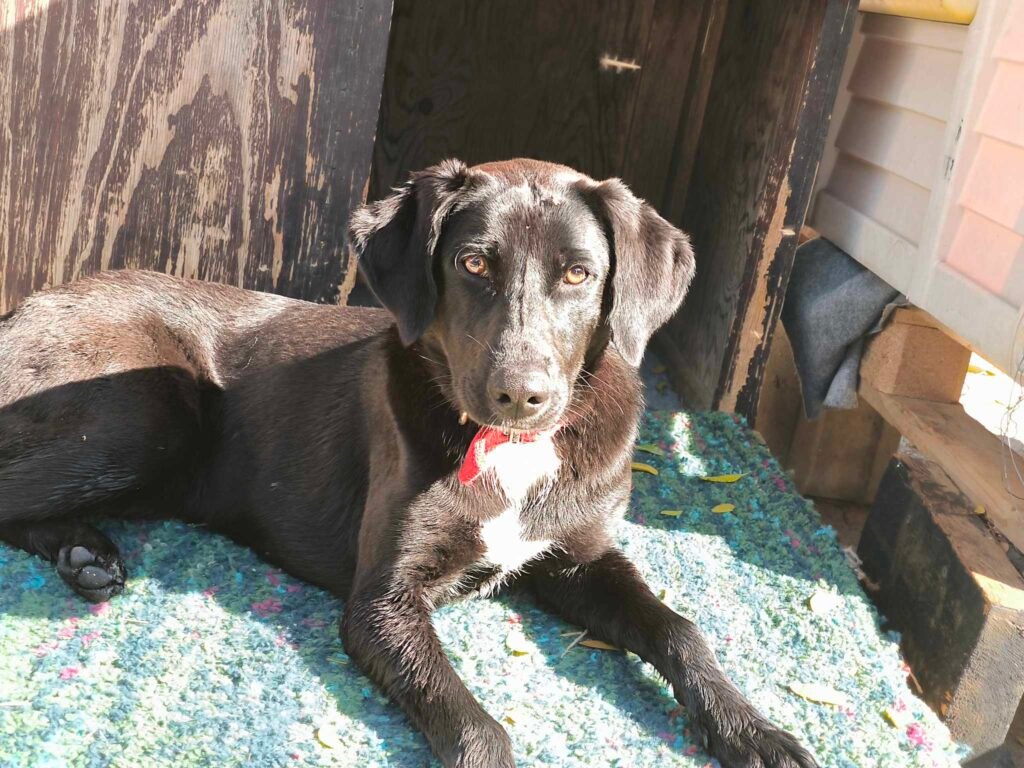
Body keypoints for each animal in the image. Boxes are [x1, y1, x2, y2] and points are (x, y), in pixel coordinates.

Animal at [0, 159, 816, 768]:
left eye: (579, 275)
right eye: (473, 262)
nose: (521, 394)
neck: (513, 453)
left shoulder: (580, 558)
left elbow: (681, 629)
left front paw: (754, 730)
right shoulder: (381, 600)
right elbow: (481, 732)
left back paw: (84, 554)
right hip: (149, 414)